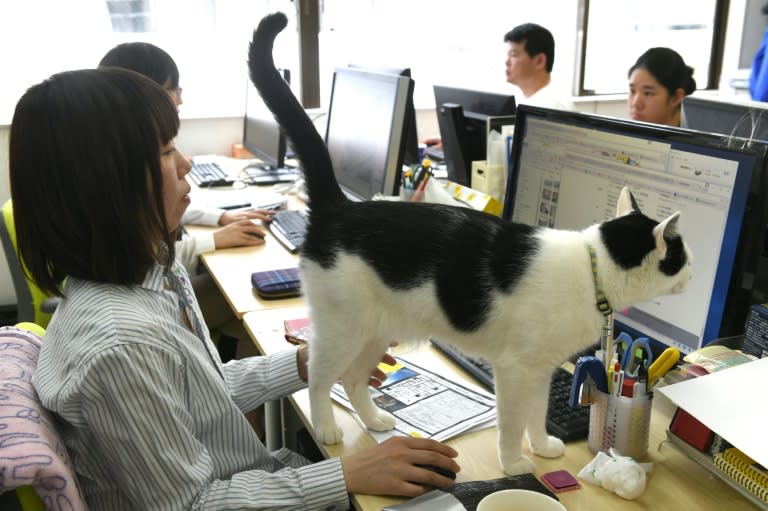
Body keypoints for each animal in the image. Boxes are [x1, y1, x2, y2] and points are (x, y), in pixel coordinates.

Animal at [249, 12, 692, 476]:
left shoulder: (542, 369)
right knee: (319, 377)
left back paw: (374, 419)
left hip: (376, 331)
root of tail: (341, 207)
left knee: (353, 378)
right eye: (680, 255)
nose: (695, 265)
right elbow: (512, 421)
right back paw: (326, 426)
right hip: (342, 329)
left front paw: (542, 446)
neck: (594, 270)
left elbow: (536, 414)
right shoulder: (514, 369)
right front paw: (514, 462)